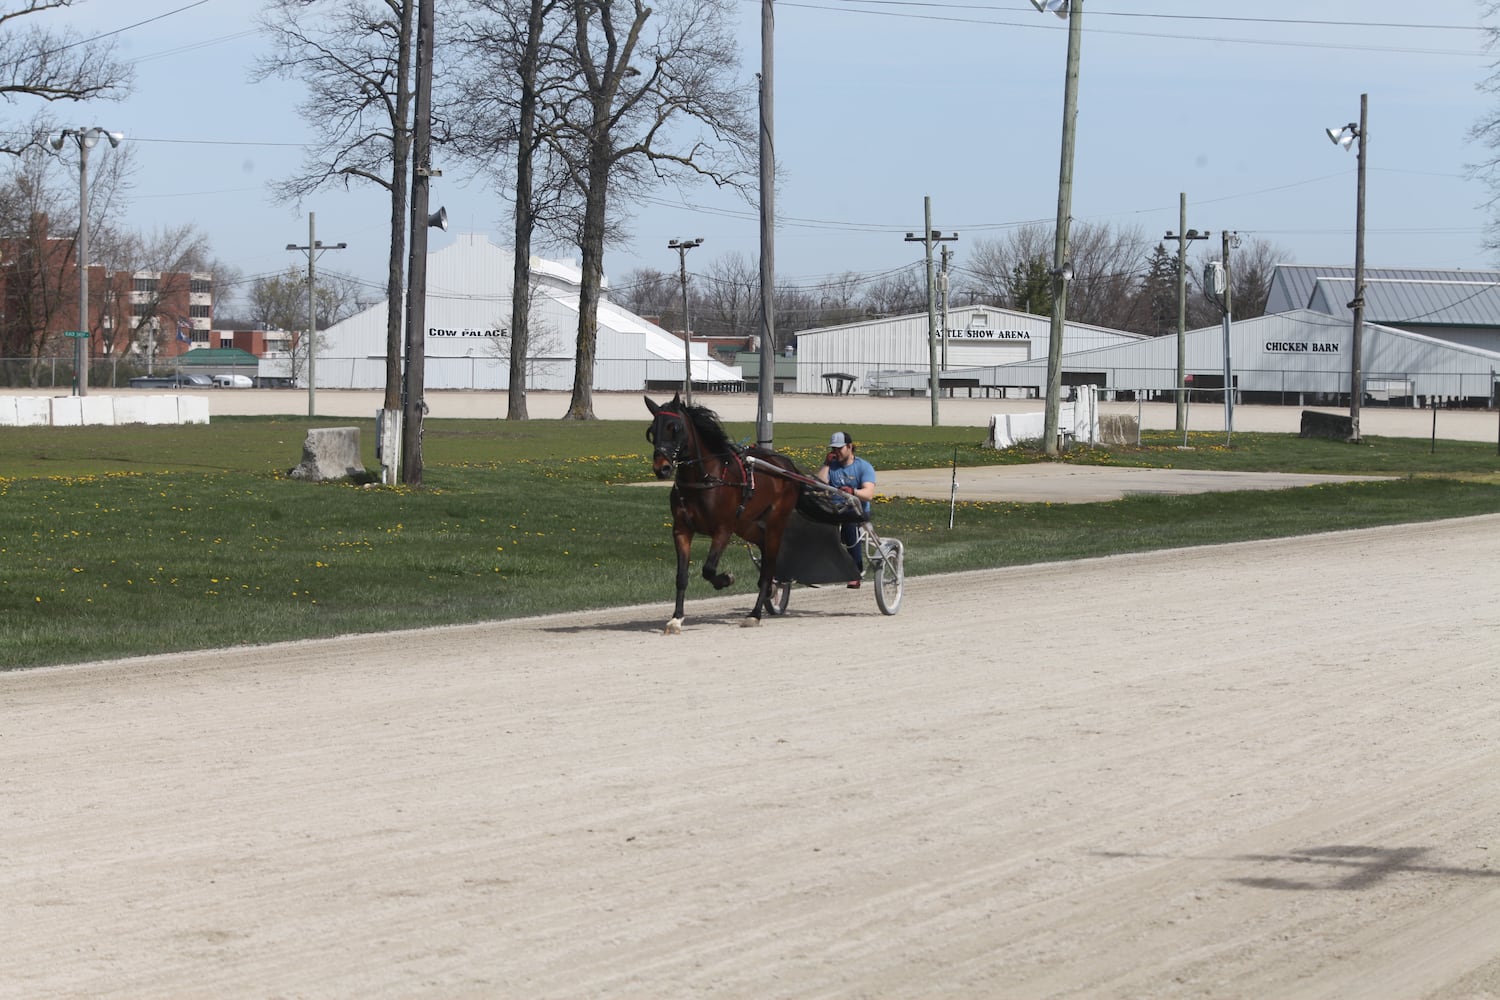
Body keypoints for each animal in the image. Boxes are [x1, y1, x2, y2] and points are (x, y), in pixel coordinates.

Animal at [648, 392, 810, 632]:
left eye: (674, 427)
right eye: (651, 431)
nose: (662, 468)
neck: (704, 480)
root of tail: (787, 466)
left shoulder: (723, 529)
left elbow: (708, 569)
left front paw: (726, 579)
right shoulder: (681, 530)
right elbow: (681, 576)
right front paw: (676, 618)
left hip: (775, 521)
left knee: (769, 560)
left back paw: (755, 612)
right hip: (745, 524)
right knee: (763, 547)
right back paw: (771, 589)